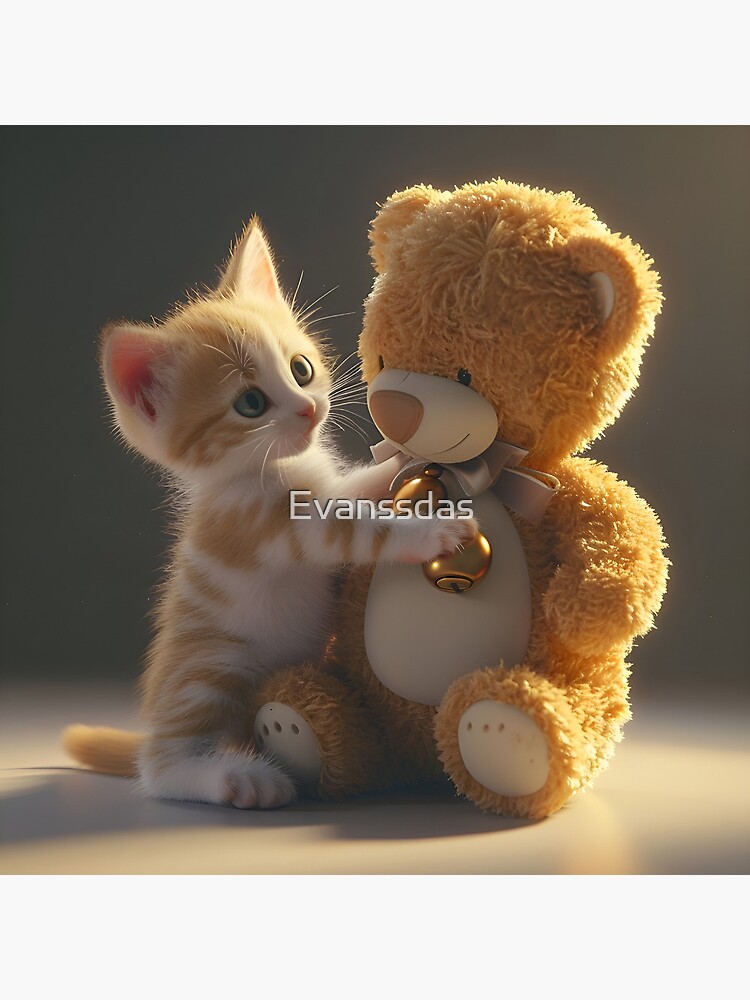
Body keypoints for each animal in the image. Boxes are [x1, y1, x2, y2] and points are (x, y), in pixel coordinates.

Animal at [64, 223, 476, 808]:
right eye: (251, 404)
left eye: (301, 369)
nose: (308, 409)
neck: (276, 467)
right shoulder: (267, 527)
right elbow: (357, 528)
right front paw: (431, 531)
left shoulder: (324, 487)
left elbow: (353, 487)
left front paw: (398, 459)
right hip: (207, 668)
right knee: (160, 767)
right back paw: (239, 777)